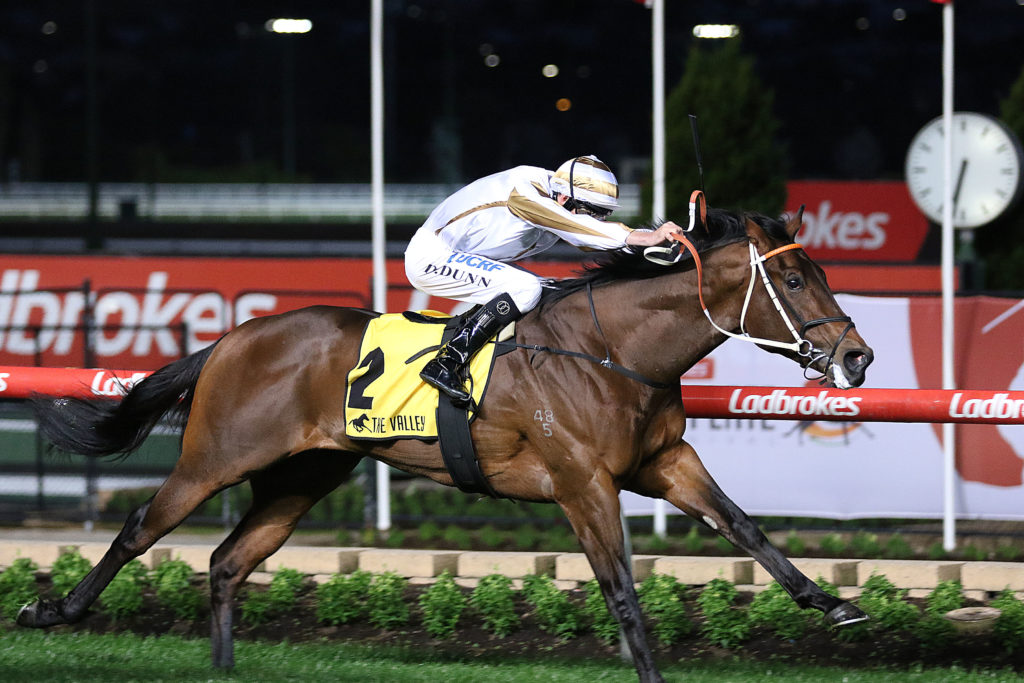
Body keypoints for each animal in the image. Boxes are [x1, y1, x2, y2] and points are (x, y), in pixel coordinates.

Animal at [18, 206, 873, 683]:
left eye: (817, 271)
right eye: (793, 281)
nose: (858, 356)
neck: (612, 349)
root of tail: (231, 337)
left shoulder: (664, 463)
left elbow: (745, 527)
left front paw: (831, 603)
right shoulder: (583, 481)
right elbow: (622, 588)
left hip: (304, 475)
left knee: (228, 561)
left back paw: (223, 671)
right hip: (215, 458)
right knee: (140, 528)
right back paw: (52, 609)